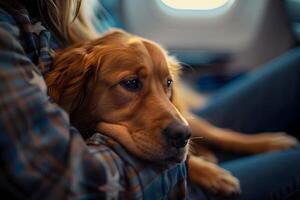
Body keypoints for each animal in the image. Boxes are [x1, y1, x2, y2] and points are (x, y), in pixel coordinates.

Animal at [45, 28, 298, 196]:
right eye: (131, 83)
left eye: (168, 82)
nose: (182, 134)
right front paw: (212, 173)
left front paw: (211, 171)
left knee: (221, 133)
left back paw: (271, 142)